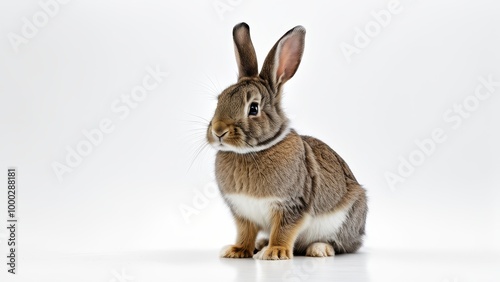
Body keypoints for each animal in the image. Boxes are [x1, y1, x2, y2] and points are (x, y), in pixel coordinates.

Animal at [206, 22, 368, 260]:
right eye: (219, 100)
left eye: (253, 108)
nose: (218, 131)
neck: (253, 151)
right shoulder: (242, 212)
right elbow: (245, 232)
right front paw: (237, 251)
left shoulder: (291, 205)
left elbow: (284, 230)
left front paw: (276, 252)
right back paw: (261, 244)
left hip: (345, 220)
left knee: (342, 245)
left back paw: (319, 249)